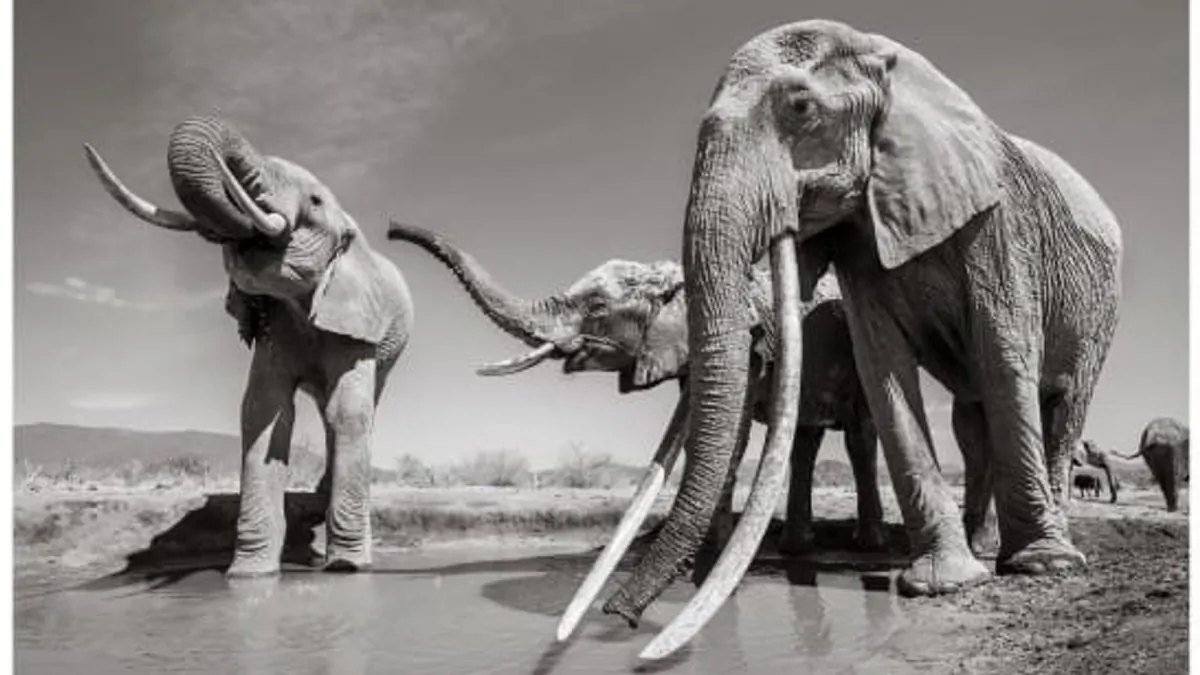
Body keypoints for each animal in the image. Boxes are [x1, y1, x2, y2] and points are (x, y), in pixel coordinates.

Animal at [84, 116, 414, 577]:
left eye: (314, 201)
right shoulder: (273, 325)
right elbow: (264, 409)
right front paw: (249, 574)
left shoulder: (356, 323)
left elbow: (348, 411)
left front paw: (347, 567)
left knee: (353, 408)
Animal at [584, 20, 1122, 659]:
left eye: (799, 108)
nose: (619, 619)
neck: (888, 60)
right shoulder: (861, 239)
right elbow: (882, 365)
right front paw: (944, 583)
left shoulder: (999, 224)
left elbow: (1004, 354)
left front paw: (1037, 567)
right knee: (970, 421)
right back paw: (982, 548)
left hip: (1100, 312)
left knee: (1062, 404)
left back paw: (1046, 551)